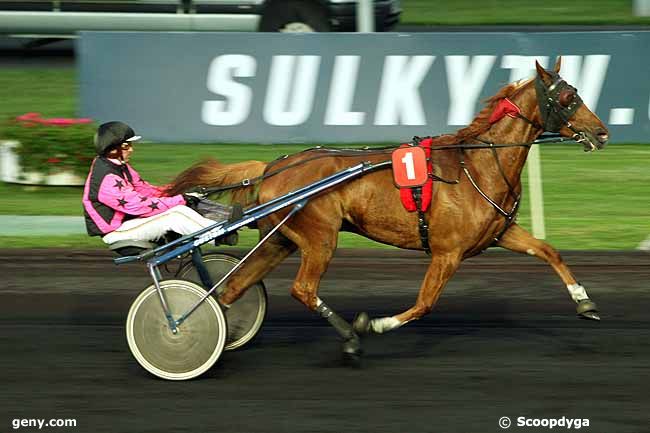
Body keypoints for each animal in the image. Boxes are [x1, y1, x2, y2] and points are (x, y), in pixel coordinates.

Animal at [166, 60, 608, 358]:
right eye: (568, 97)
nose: (602, 132)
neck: (477, 163)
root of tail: (274, 166)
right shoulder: (448, 252)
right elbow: (425, 303)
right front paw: (375, 323)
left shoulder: (500, 233)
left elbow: (549, 251)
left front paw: (584, 302)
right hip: (320, 237)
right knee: (303, 288)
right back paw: (349, 336)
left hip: (281, 240)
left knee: (233, 288)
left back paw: (220, 330)